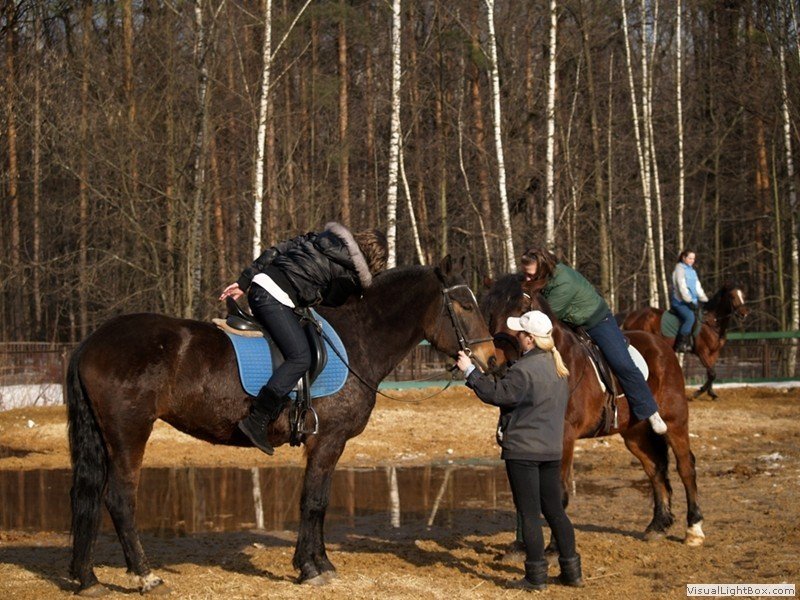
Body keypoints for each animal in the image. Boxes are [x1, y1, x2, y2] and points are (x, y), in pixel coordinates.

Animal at [67, 258, 494, 596]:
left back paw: (87, 578)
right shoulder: (328, 441)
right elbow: (314, 502)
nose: (490, 358)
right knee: (120, 500)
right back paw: (145, 575)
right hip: (130, 433)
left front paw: (320, 563)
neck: (356, 340)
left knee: (90, 499)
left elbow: (318, 501)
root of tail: (91, 341)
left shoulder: (325, 444)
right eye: (465, 304)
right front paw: (310, 568)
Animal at [478, 274, 704, 552]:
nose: (495, 363)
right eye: (489, 311)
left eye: (521, 310)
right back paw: (658, 524)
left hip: (675, 421)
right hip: (635, 434)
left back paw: (694, 529)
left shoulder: (564, 438)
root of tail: (662, 346)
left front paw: (555, 548)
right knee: (655, 468)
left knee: (686, 466)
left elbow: (558, 492)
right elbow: (524, 495)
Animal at [620, 284, 752, 400]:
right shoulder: (702, 352)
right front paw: (696, 393)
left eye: (743, 296)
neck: (712, 322)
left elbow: (712, 373)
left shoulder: (714, 353)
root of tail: (630, 317)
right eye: (732, 296)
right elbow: (712, 374)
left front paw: (711, 393)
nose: (744, 313)